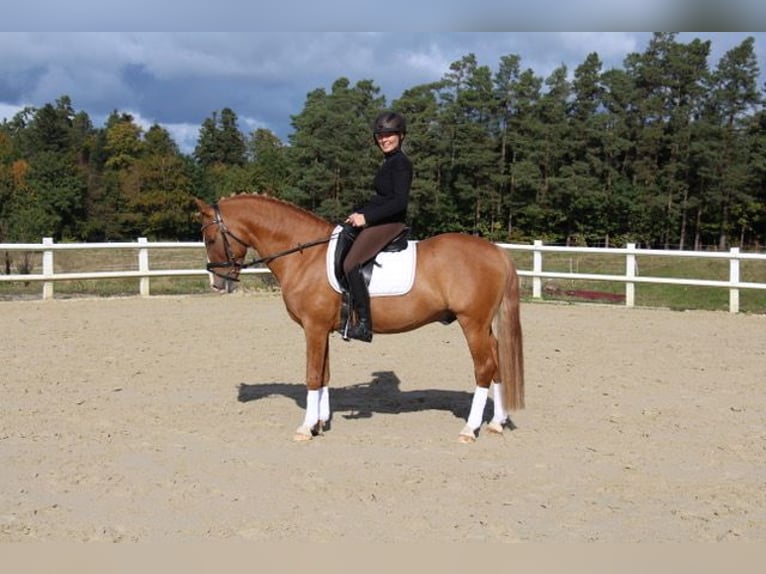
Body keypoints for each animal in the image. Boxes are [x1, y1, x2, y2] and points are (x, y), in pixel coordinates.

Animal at [195, 195, 524, 446]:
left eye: (210, 238)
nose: (216, 283)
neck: (306, 255)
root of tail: (497, 251)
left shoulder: (313, 329)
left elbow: (312, 375)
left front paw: (305, 428)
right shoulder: (322, 330)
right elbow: (324, 374)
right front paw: (319, 422)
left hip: (472, 324)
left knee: (484, 368)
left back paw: (469, 429)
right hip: (483, 326)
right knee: (496, 363)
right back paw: (496, 422)